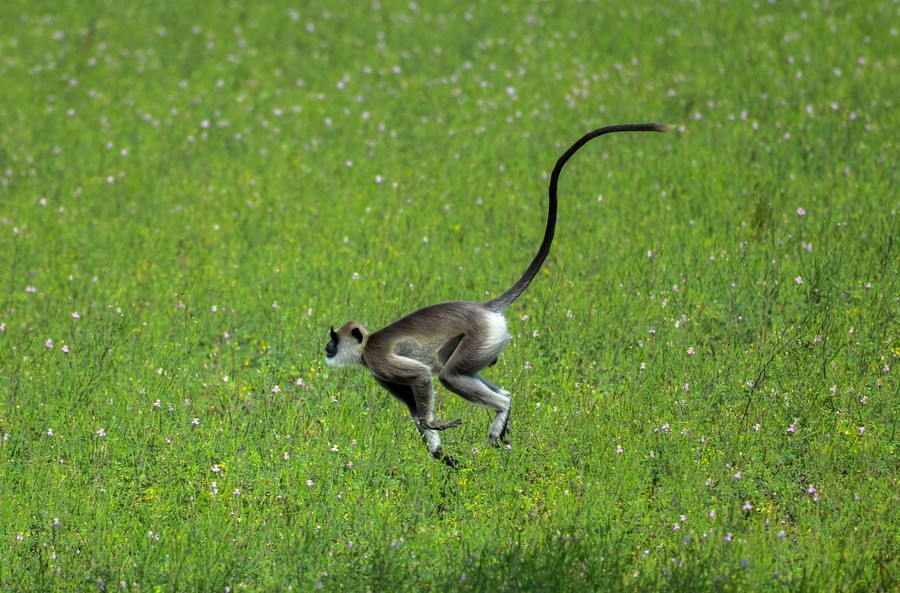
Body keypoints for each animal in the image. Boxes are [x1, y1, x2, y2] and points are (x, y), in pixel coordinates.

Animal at [325, 123, 671, 467]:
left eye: (333, 338)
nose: (327, 348)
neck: (366, 345)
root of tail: (484, 307)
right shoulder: (378, 373)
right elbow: (414, 410)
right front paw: (440, 453)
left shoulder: (378, 359)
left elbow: (423, 378)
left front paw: (433, 428)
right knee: (456, 369)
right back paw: (503, 408)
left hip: (482, 334)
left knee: (448, 373)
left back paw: (500, 410)